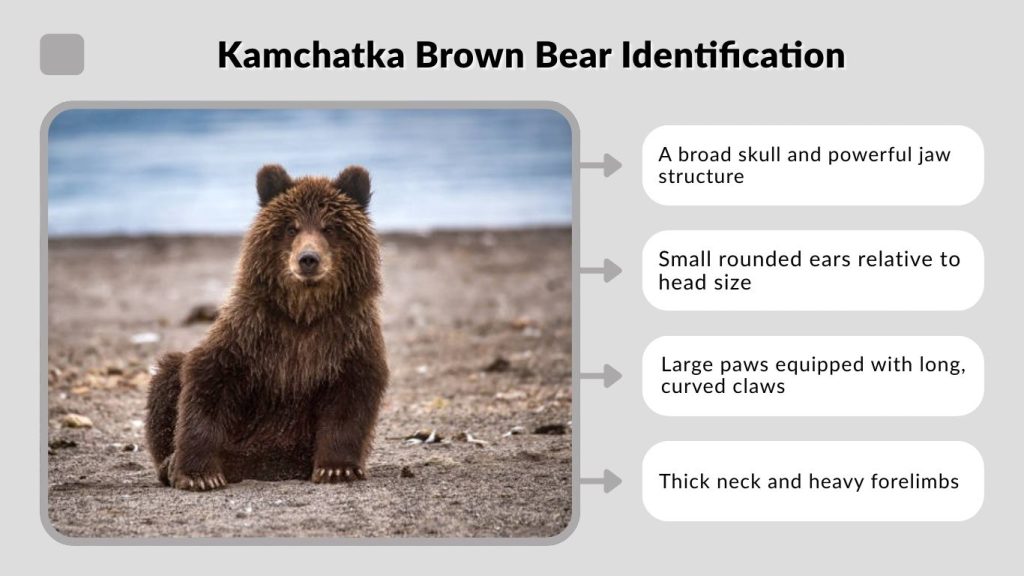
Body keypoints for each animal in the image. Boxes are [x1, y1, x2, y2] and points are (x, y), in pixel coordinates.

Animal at [144, 164, 389, 491]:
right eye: (291, 228)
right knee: (168, 373)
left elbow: (349, 402)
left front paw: (337, 469)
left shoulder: (347, 339)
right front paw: (200, 474)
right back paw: (168, 463)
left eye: (329, 227)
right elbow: (207, 382)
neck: (303, 313)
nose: (308, 259)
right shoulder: (250, 332)